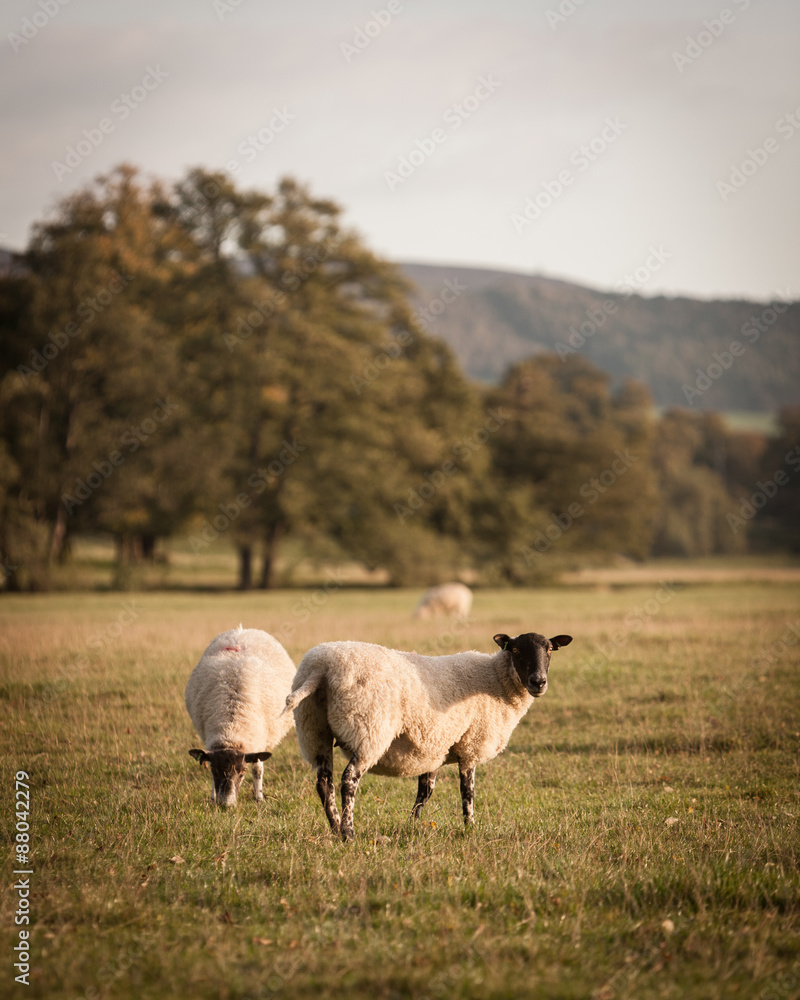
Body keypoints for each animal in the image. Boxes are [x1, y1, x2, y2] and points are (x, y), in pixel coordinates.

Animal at [185, 626, 296, 808]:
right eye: (214, 770)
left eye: (243, 770)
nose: (227, 805)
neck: (232, 727)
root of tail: (241, 630)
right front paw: (213, 798)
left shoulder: (257, 741)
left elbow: (257, 770)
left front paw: (259, 798)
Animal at [284, 630, 572, 840]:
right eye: (514, 650)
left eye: (549, 649)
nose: (538, 682)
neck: (496, 681)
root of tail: (320, 669)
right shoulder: (470, 745)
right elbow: (467, 791)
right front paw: (470, 825)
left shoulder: (434, 748)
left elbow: (425, 791)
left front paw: (412, 824)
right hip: (369, 730)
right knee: (348, 780)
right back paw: (348, 832)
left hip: (314, 731)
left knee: (324, 783)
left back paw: (334, 827)